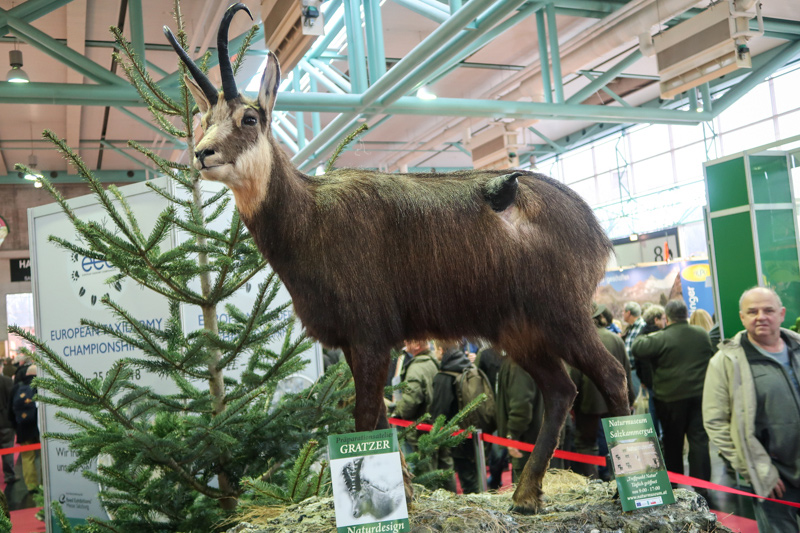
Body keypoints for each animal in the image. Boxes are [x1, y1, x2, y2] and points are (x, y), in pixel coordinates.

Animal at [165, 2, 630, 514]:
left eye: (249, 118)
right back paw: (526, 496)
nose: (202, 153)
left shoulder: (370, 334)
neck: (311, 218)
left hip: (562, 313)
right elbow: (380, 420)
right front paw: (402, 489)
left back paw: (630, 484)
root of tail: (594, 228)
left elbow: (365, 416)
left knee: (611, 374)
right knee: (562, 388)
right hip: (520, 329)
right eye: (203, 118)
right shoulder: (352, 342)